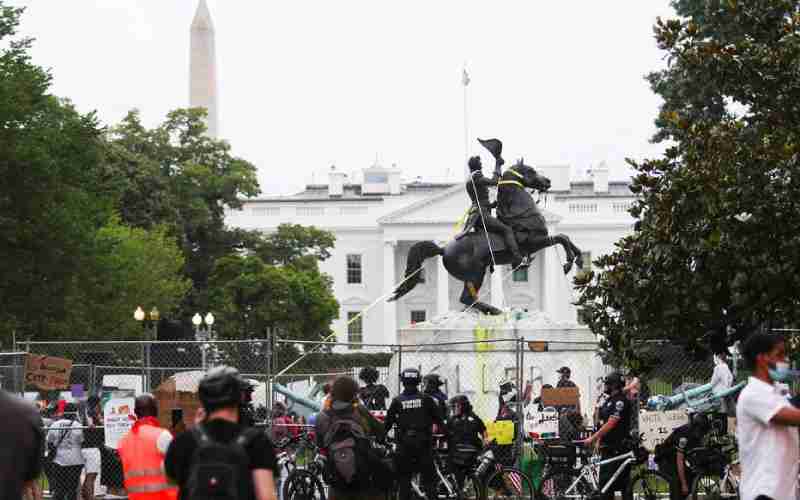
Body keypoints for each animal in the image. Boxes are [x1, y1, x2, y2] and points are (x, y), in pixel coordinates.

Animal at [388, 160, 580, 314]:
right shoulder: (533, 242)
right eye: (530, 170)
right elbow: (561, 238)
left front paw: (577, 258)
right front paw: (568, 262)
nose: (548, 181)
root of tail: (443, 249)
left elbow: (565, 237)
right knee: (467, 298)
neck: (522, 213)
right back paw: (494, 310)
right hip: (476, 272)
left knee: (468, 298)